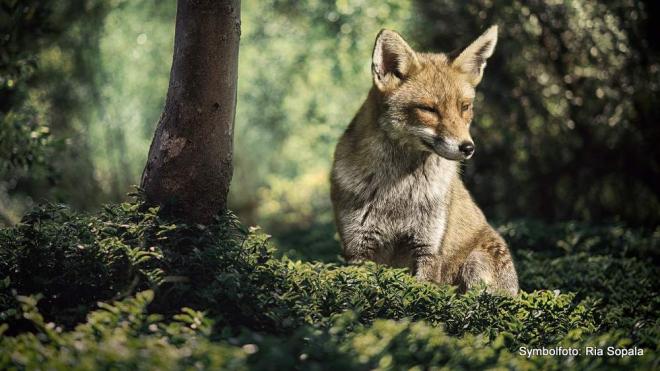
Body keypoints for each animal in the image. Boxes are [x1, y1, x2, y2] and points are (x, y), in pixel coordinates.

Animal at [330, 25, 520, 296]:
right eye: (429, 109)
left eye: (464, 107)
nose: (468, 148)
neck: (397, 192)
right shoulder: (358, 248)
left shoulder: (428, 247)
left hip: (475, 264)